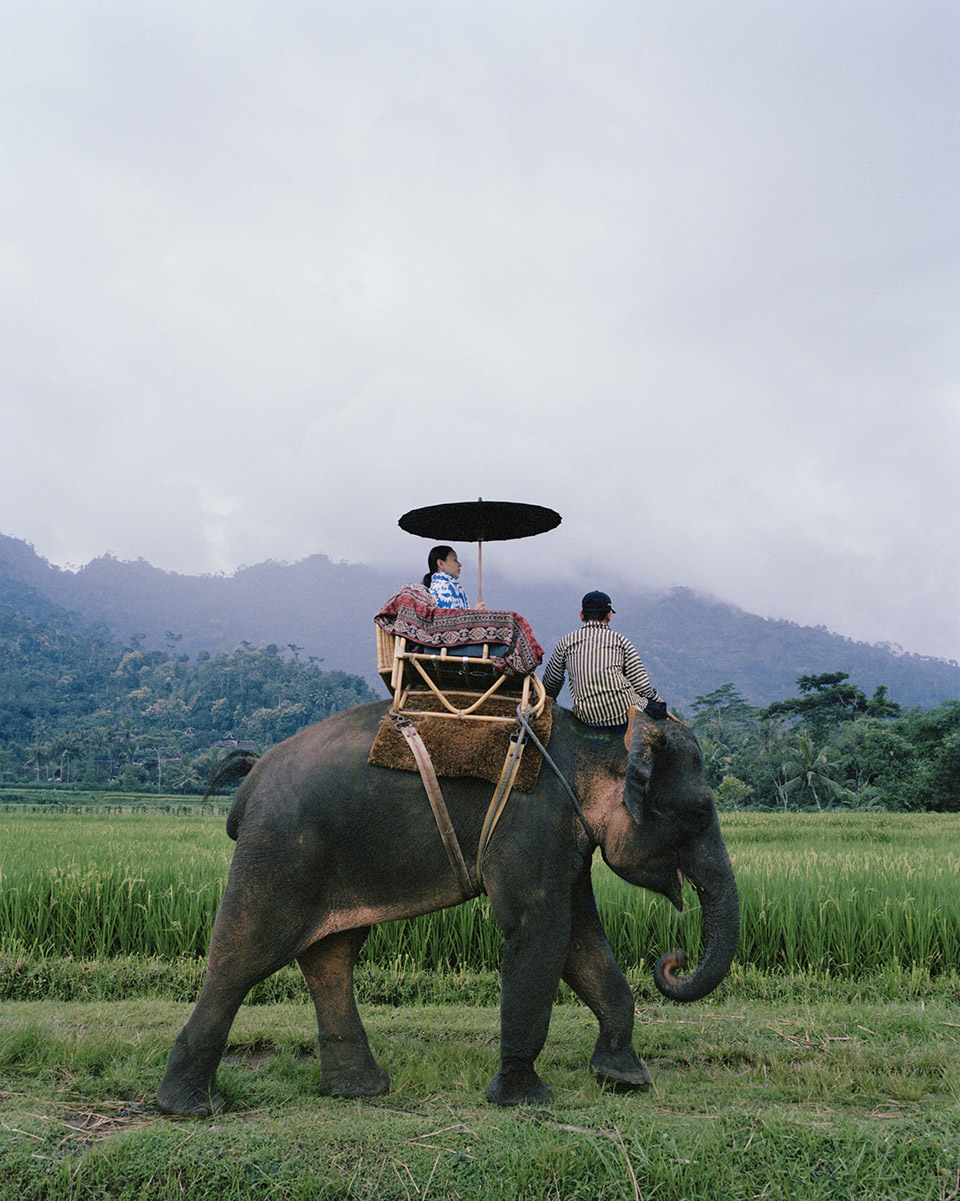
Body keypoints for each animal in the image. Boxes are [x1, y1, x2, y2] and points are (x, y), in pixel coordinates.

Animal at [159, 701, 744, 1114]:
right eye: (698, 814)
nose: (674, 960)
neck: (592, 739)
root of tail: (253, 776)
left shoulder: (563, 837)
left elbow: (580, 935)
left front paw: (625, 1080)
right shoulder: (530, 822)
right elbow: (539, 930)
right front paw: (524, 1100)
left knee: (331, 955)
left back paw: (359, 1091)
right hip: (280, 849)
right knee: (244, 956)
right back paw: (192, 1108)